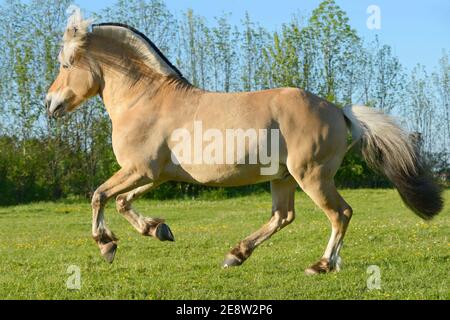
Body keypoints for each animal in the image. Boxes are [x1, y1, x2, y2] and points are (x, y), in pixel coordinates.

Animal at [45, 9, 442, 276]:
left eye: (66, 64)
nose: (50, 104)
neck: (145, 99)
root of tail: (339, 110)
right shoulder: (154, 174)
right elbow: (122, 202)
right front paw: (158, 230)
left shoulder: (139, 170)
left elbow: (99, 195)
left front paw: (107, 245)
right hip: (283, 178)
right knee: (283, 216)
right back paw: (236, 254)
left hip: (311, 176)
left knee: (339, 214)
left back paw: (320, 265)